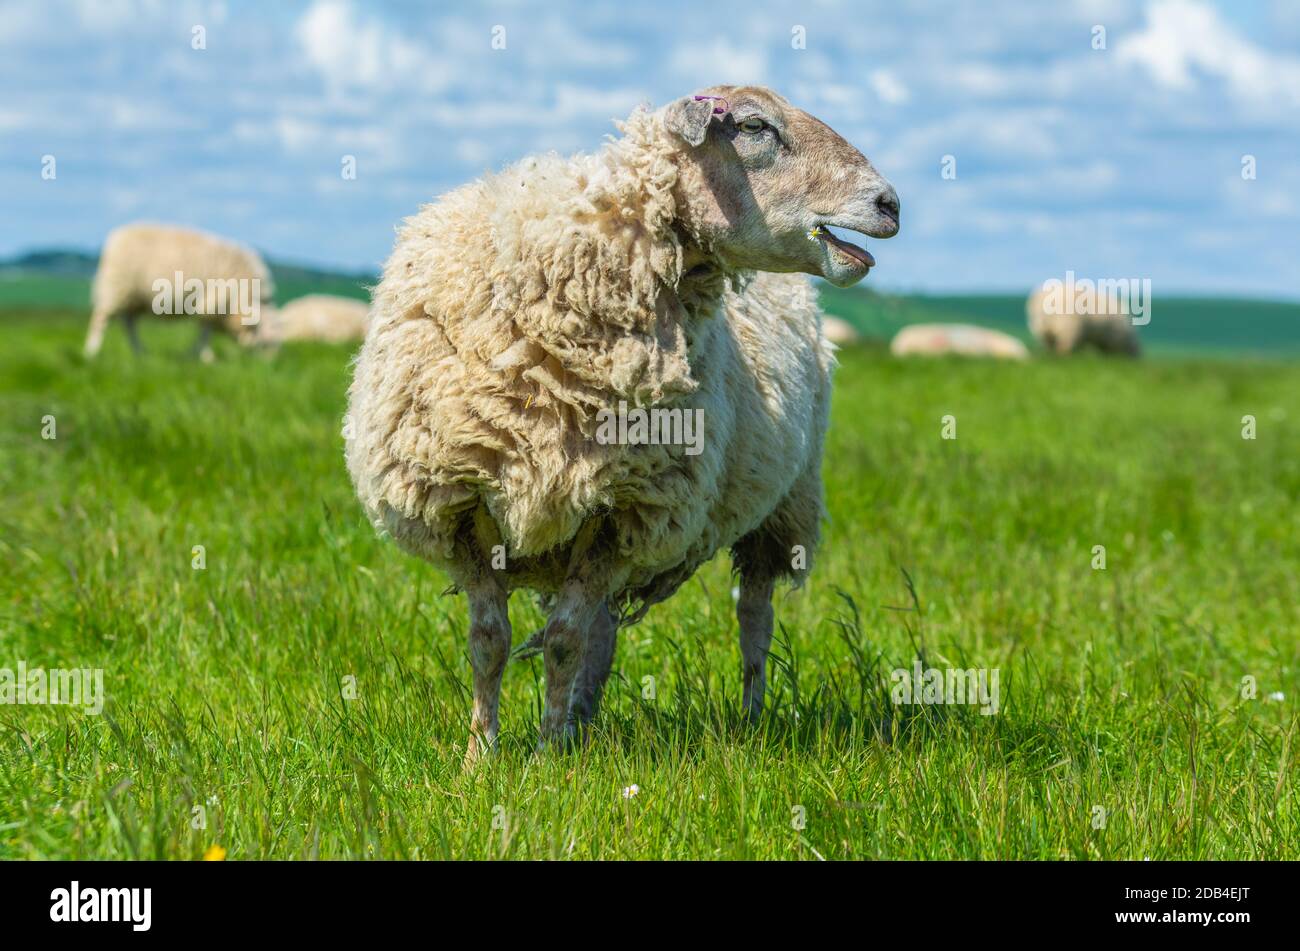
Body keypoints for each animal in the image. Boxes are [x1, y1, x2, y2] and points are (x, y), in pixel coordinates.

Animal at [83, 220, 274, 361]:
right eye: (266, 343)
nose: (269, 364)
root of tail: (116, 236)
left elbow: (204, 330)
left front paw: (197, 354)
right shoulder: (212, 301)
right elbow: (206, 331)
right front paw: (206, 357)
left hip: (133, 296)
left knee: (129, 324)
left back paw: (139, 352)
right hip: (115, 287)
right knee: (100, 319)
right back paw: (91, 351)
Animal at [340, 85, 899, 763]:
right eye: (754, 126)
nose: (890, 203)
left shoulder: (621, 510)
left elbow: (561, 642)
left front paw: (546, 756)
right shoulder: (467, 506)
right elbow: (490, 643)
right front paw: (481, 757)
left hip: (784, 503)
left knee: (753, 617)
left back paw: (748, 716)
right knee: (604, 632)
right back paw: (583, 720)